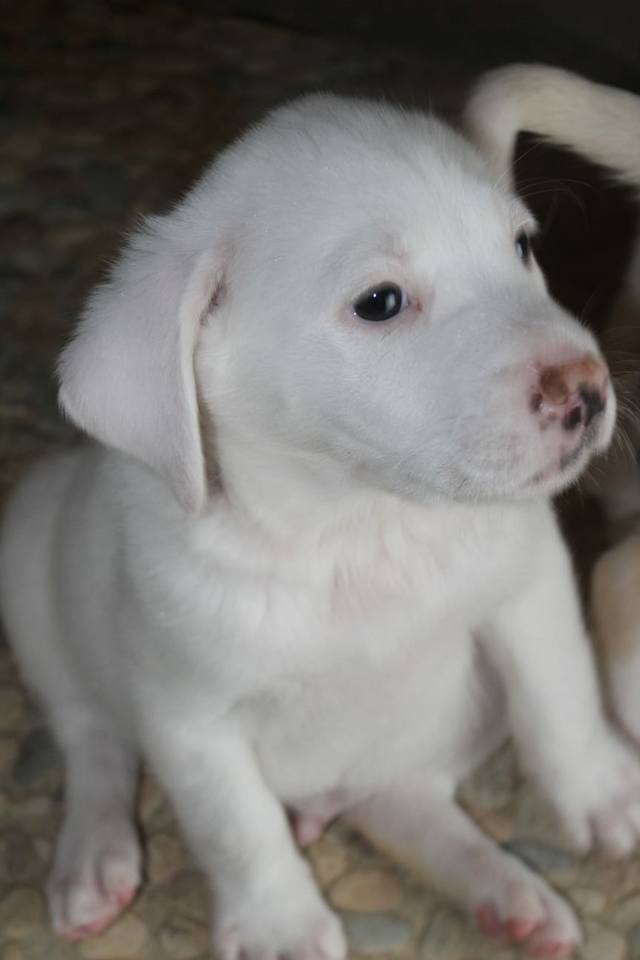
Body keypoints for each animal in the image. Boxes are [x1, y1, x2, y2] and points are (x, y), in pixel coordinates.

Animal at [2, 93, 640, 960]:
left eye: (519, 248)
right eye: (380, 302)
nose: (590, 390)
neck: (357, 530)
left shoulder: (529, 587)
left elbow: (561, 691)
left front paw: (601, 791)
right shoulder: (187, 719)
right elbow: (238, 828)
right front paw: (280, 924)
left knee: (404, 802)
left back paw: (506, 894)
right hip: (31, 553)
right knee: (89, 737)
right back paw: (95, 858)